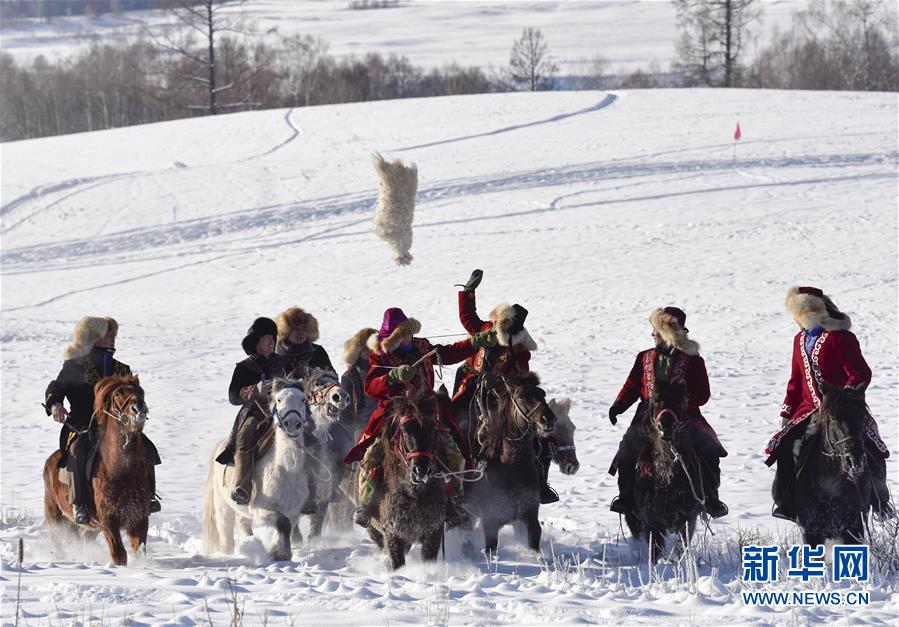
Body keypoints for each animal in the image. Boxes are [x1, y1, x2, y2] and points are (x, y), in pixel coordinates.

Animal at [43, 376, 151, 568]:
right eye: (118, 393)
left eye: (141, 391)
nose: (138, 409)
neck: (122, 471)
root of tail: (50, 461)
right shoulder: (108, 520)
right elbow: (119, 554)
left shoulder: (139, 518)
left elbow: (139, 551)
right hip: (56, 519)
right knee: (58, 541)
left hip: (89, 528)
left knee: (84, 536)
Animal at [204, 376, 316, 560]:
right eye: (279, 399)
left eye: (303, 399)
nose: (292, 423)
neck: (286, 470)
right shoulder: (263, 510)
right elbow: (283, 523)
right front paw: (281, 553)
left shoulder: (294, 510)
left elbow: (287, 526)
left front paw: (277, 550)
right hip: (223, 508)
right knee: (226, 536)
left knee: (243, 523)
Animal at [368, 400, 448, 572]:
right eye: (405, 430)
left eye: (434, 430)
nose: (420, 470)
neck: (415, 496)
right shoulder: (393, 533)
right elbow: (397, 562)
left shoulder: (433, 533)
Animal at [464, 372, 556, 556]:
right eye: (521, 396)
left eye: (542, 394)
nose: (548, 419)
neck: (511, 469)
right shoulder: (490, 523)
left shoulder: (529, 518)